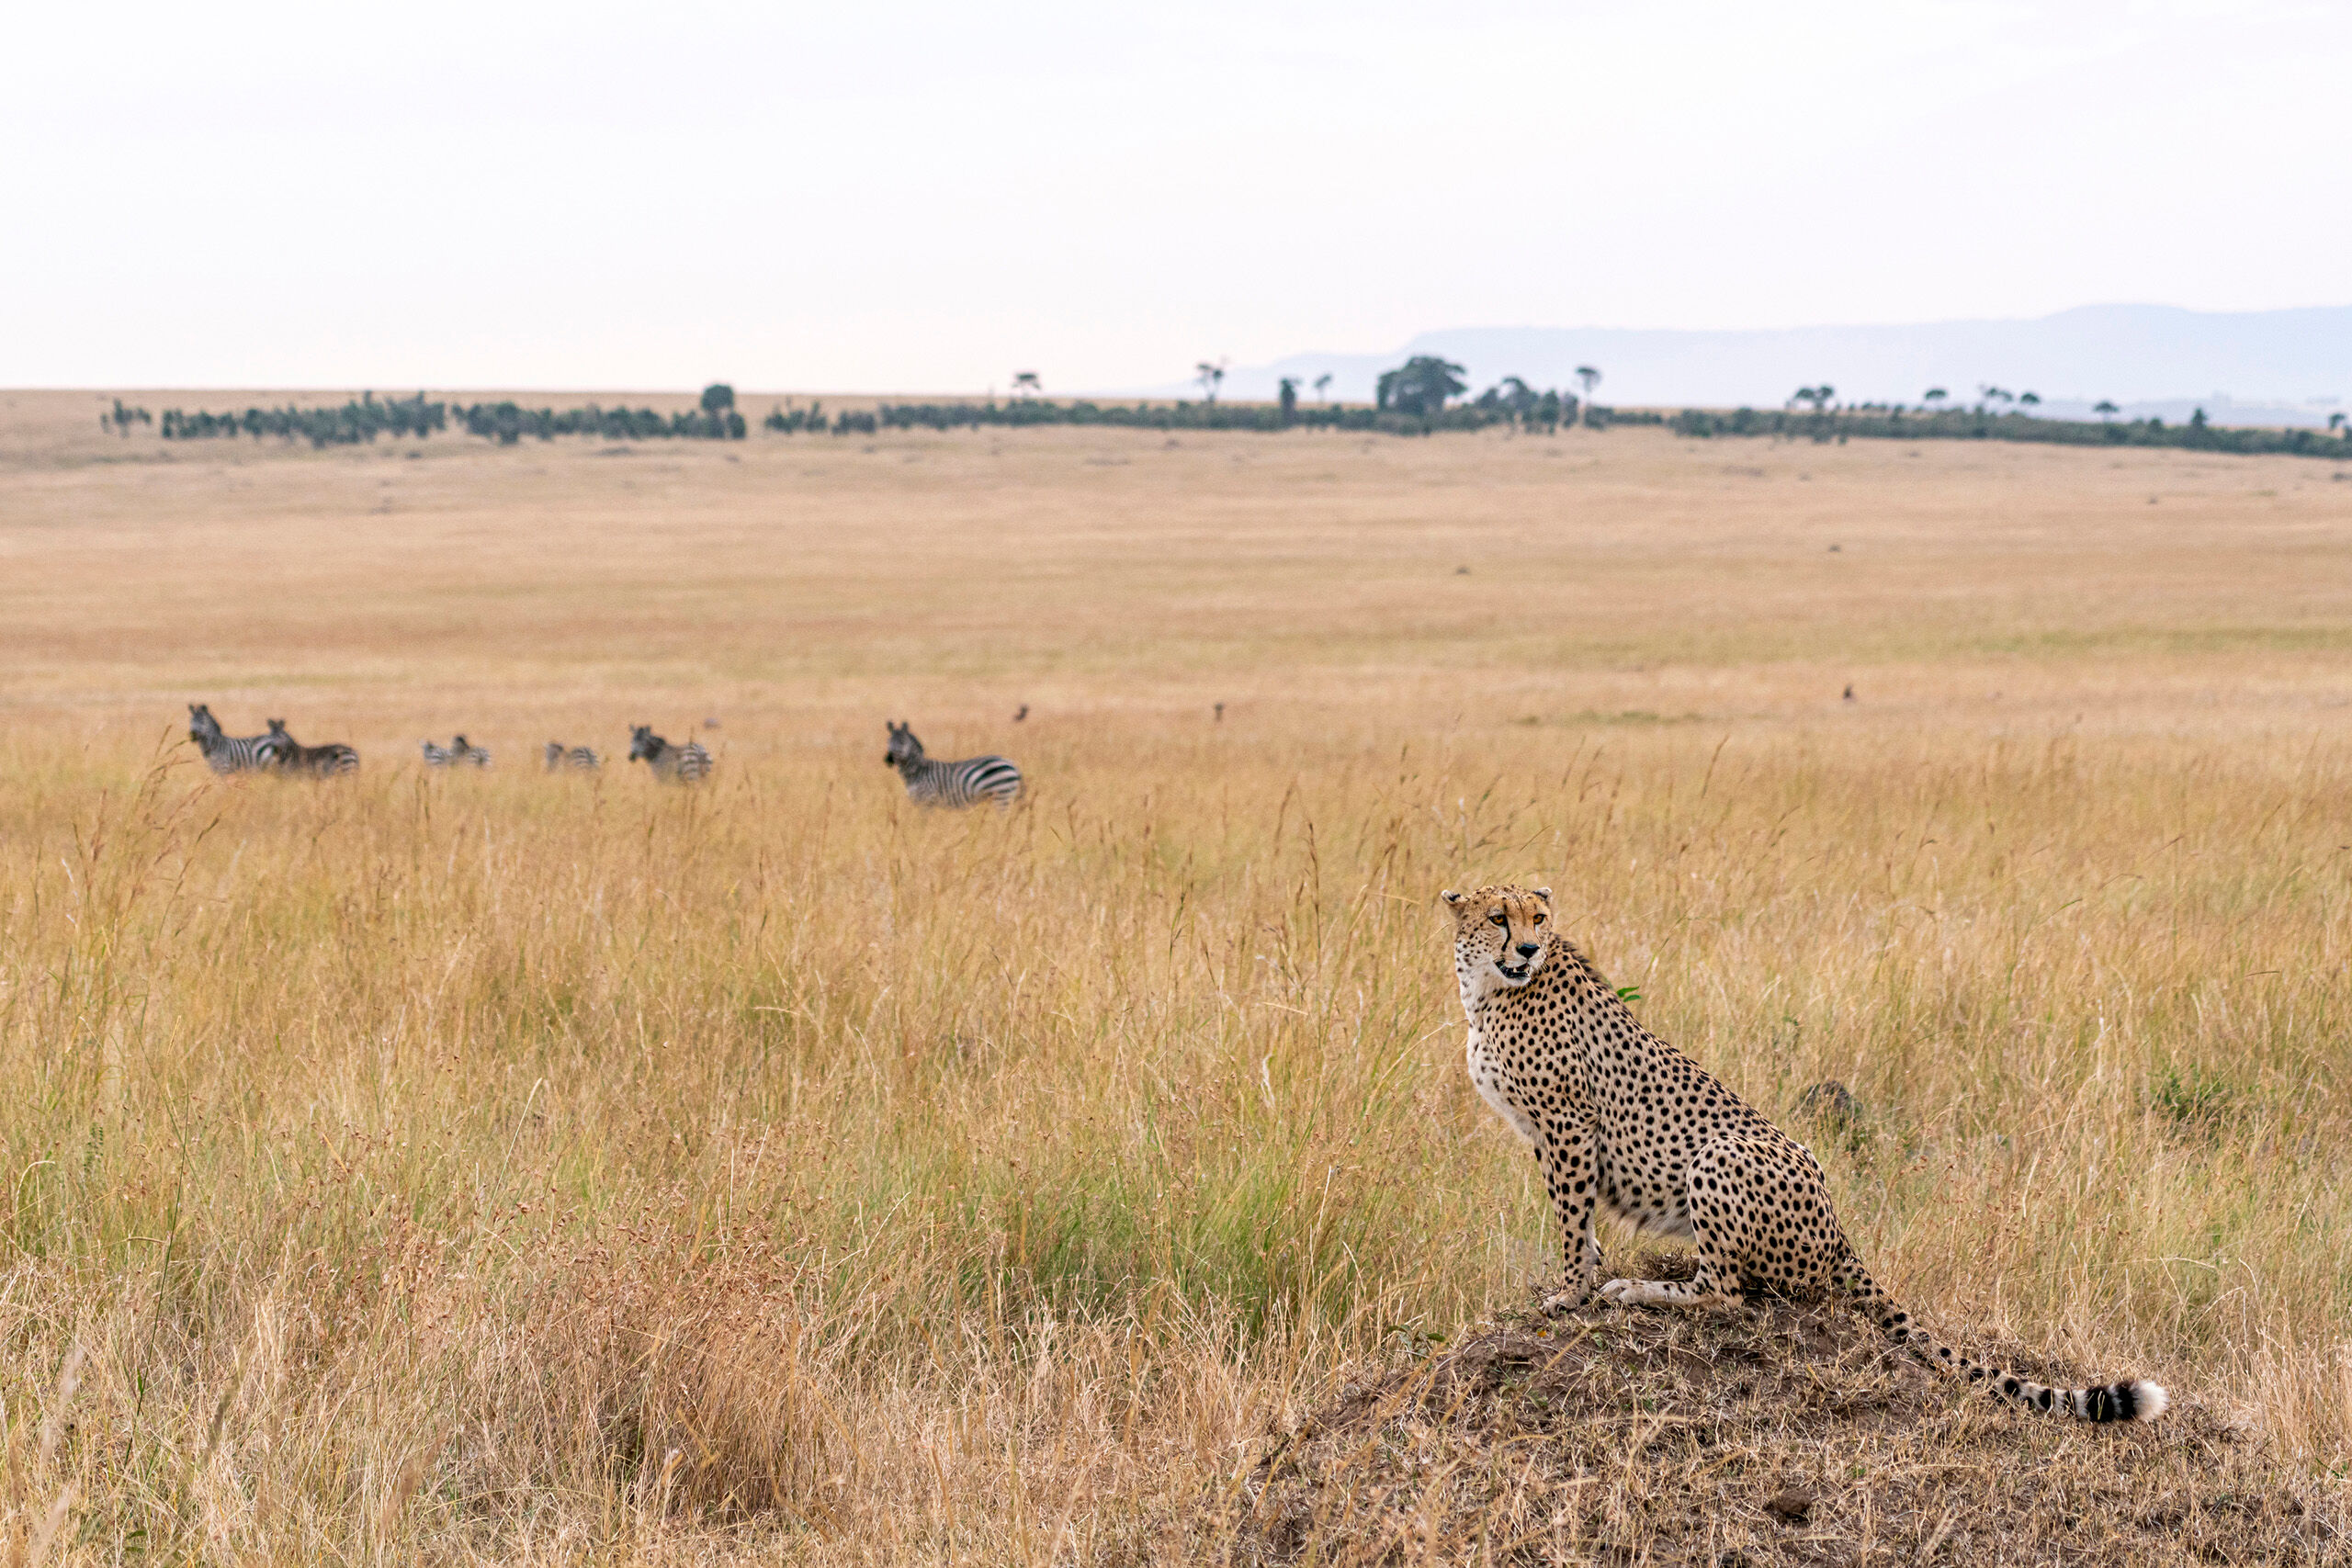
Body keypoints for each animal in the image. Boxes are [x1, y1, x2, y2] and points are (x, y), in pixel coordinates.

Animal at [1444, 882, 2169, 1424]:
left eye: (1537, 917)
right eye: (1498, 917)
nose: (1528, 947)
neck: (1490, 989)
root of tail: (1837, 1224)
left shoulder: (1567, 1123)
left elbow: (1572, 1219)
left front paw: (1573, 1293)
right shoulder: (1552, 1131)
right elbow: (1582, 1221)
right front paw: (1582, 1277)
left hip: (1720, 1151)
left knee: (1728, 1293)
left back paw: (1638, 1291)